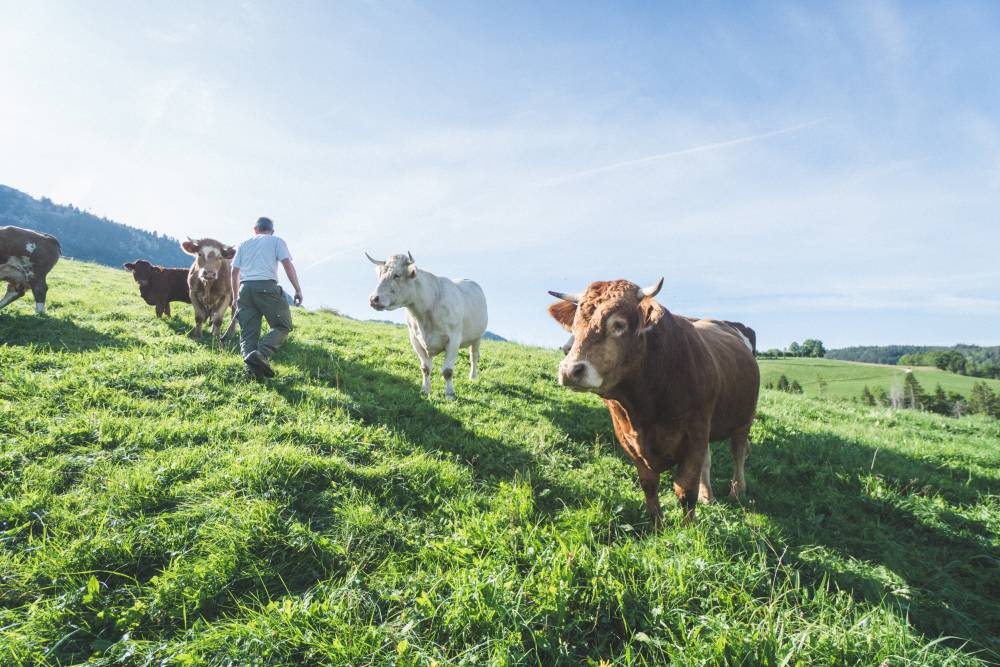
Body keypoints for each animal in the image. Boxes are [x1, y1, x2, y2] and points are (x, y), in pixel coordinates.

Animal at [370, 249, 490, 396]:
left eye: (397, 275)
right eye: (380, 274)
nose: (373, 299)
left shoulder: (454, 339)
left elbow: (448, 371)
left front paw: (450, 393)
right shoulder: (415, 340)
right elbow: (425, 368)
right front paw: (425, 389)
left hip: (478, 337)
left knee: (474, 357)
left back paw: (472, 377)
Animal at [548, 280, 756, 524]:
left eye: (619, 324)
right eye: (574, 324)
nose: (570, 370)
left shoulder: (695, 433)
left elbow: (686, 488)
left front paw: (688, 527)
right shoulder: (627, 437)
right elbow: (649, 485)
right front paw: (657, 524)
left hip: (744, 418)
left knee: (739, 452)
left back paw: (737, 491)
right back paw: (708, 496)